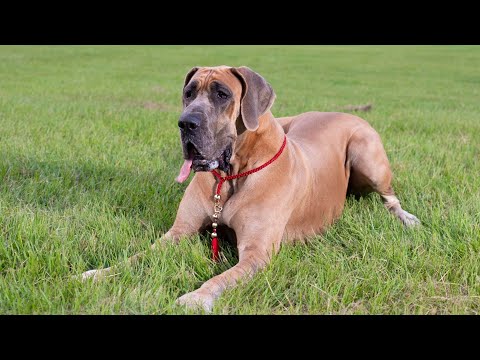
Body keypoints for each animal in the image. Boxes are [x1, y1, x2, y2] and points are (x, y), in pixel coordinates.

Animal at [81, 65, 420, 312]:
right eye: (188, 94)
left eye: (221, 94)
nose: (185, 123)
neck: (231, 177)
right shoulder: (177, 233)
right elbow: (138, 257)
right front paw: (99, 273)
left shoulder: (256, 254)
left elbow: (221, 278)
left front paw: (195, 298)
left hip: (366, 152)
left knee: (390, 197)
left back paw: (407, 219)